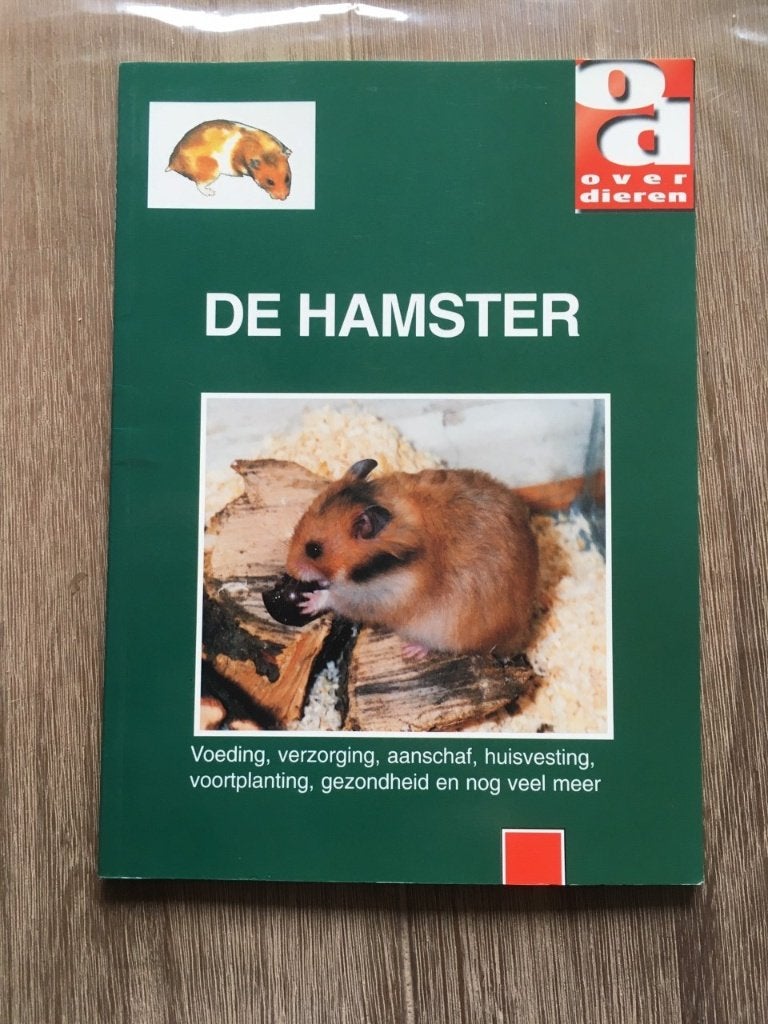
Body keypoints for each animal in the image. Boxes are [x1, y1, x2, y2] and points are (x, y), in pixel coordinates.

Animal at [284, 459, 539, 660]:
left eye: (314, 550)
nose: (289, 569)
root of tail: (521, 634)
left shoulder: (379, 596)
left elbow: (336, 598)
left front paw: (309, 601)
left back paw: (411, 650)